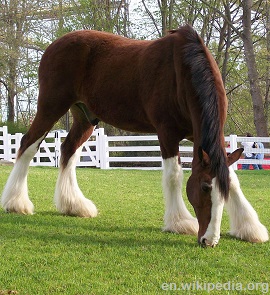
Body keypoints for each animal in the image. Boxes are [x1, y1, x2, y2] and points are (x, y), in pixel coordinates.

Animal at [1, 25, 268, 247]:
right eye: (203, 188)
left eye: (222, 193)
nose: (209, 241)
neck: (183, 71)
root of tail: (54, 45)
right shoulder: (167, 133)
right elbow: (174, 176)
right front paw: (180, 222)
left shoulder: (199, 137)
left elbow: (232, 177)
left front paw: (250, 228)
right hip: (51, 106)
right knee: (28, 145)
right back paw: (16, 203)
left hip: (85, 117)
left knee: (68, 150)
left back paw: (74, 205)